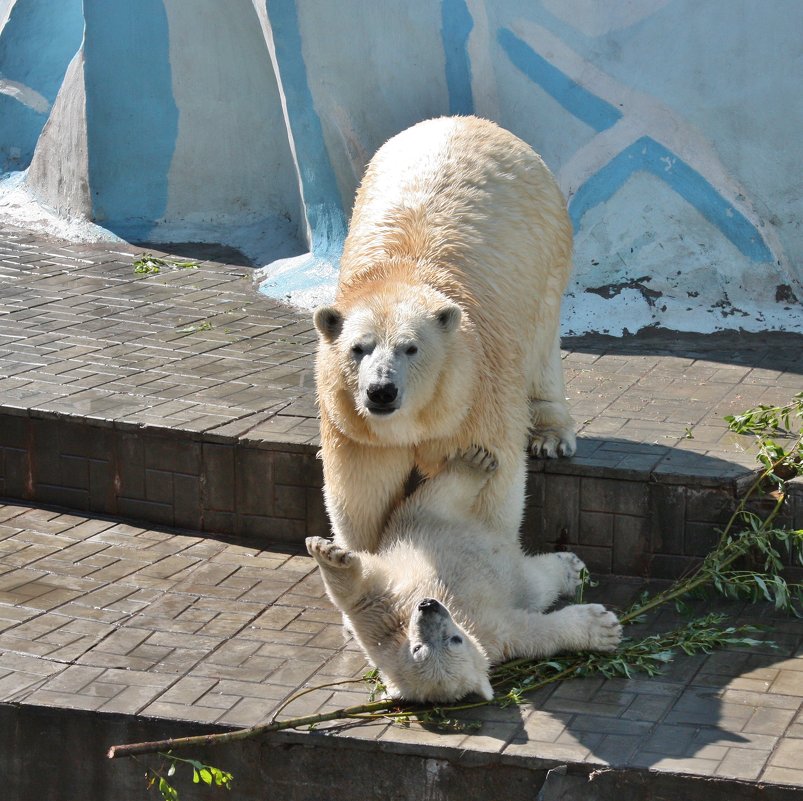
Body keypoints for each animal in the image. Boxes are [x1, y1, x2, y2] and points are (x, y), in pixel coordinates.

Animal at [312, 115, 572, 552]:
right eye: (358, 348)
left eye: (411, 348)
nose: (381, 391)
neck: (404, 271)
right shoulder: (355, 423)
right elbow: (361, 491)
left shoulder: (474, 395)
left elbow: (484, 487)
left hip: (549, 259)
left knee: (542, 349)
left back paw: (551, 434)